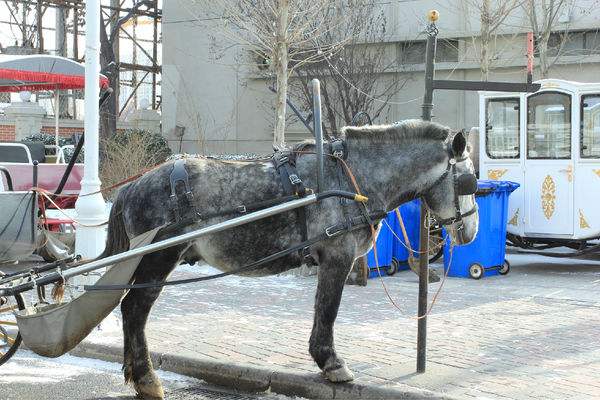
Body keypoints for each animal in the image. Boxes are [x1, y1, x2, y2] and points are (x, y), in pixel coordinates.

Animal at [102, 119, 478, 396]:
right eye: (469, 182)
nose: (470, 233)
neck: (350, 179)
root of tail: (134, 185)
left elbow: (322, 309)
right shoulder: (337, 256)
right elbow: (328, 310)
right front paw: (331, 363)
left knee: (129, 308)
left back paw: (135, 373)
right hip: (158, 258)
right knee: (135, 309)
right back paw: (147, 378)